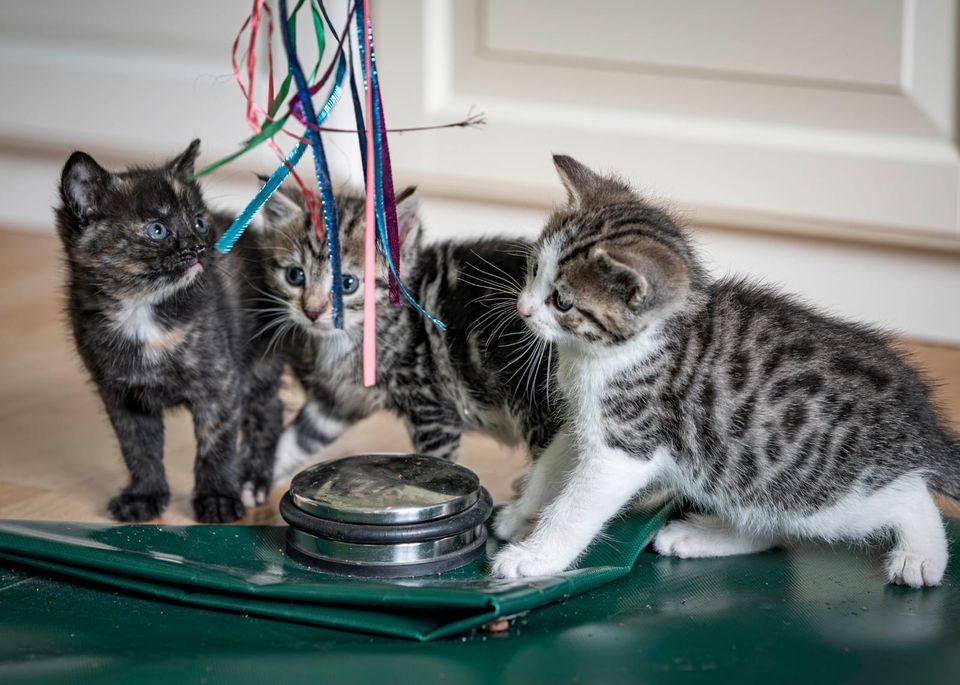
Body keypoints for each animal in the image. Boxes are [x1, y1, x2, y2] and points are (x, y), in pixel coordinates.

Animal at [56, 142, 284, 520]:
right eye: (157, 230)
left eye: (200, 222)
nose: (198, 247)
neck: (141, 309)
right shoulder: (123, 396)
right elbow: (138, 449)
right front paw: (145, 496)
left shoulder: (219, 385)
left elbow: (215, 447)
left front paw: (218, 497)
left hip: (259, 360)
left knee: (269, 412)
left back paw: (253, 480)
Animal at [244, 182, 564, 480]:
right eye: (295, 276)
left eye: (348, 284)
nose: (312, 312)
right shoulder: (336, 402)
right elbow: (297, 440)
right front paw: (252, 486)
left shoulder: (431, 409)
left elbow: (437, 462)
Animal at [496, 155, 960, 588]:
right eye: (533, 268)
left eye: (562, 301)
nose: (522, 308)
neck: (597, 354)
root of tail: (925, 426)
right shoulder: (586, 423)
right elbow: (550, 466)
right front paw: (519, 514)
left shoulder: (626, 443)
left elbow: (575, 509)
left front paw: (534, 557)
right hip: (747, 475)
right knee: (770, 528)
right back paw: (698, 536)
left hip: (824, 492)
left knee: (909, 499)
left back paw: (921, 555)